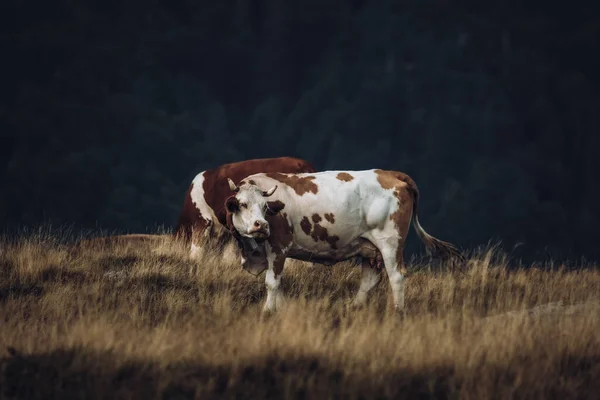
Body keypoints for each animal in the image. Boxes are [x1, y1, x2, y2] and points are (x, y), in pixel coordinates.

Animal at [223, 169, 462, 312]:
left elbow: (272, 282)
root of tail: (390, 173)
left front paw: (267, 311)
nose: (261, 225)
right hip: (370, 248)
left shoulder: (279, 246)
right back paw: (354, 307)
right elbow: (277, 284)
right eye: (242, 204)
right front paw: (280, 308)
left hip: (390, 243)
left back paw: (397, 311)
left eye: (265, 207)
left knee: (396, 276)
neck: (252, 249)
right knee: (369, 280)